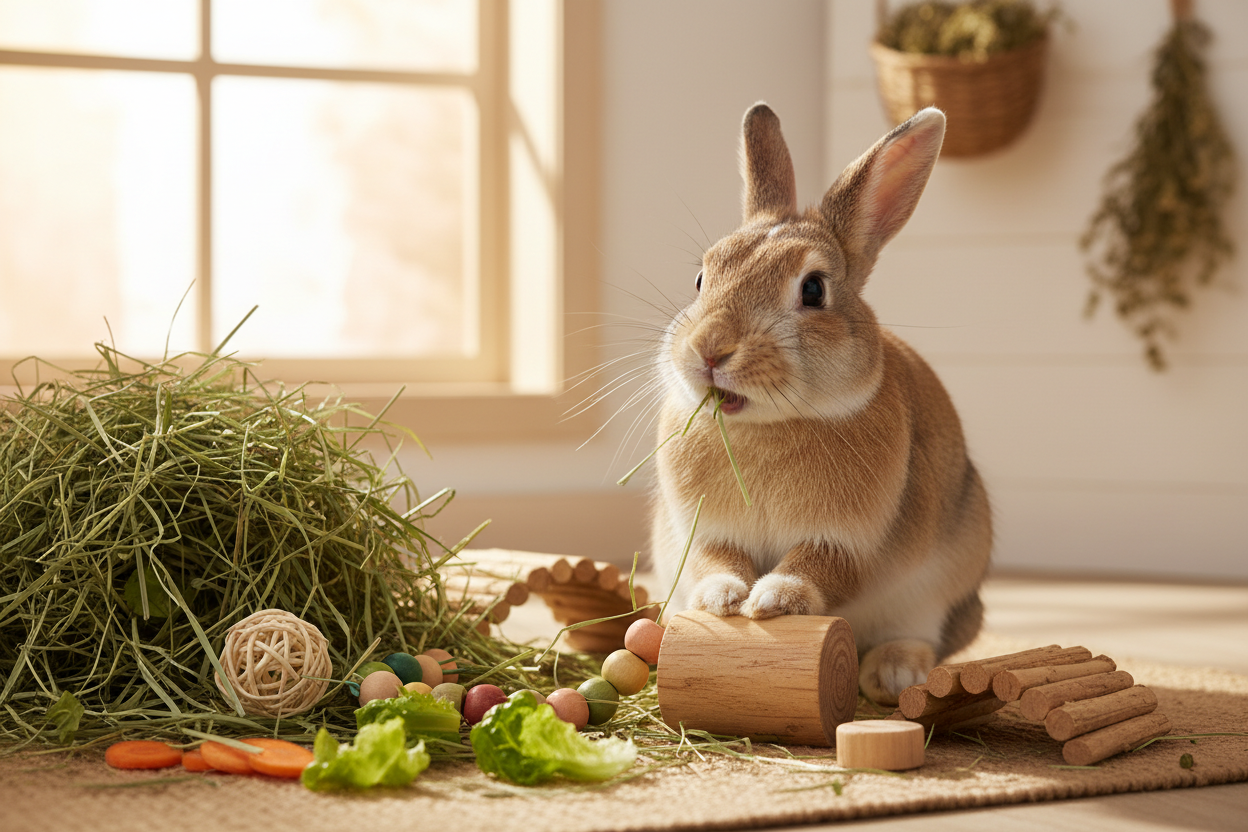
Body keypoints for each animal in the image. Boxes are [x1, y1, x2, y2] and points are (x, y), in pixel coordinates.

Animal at [650, 103, 992, 706]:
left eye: (813, 290)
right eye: (700, 277)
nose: (709, 349)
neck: (769, 423)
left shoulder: (850, 541)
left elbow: (818, 568)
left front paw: (771, 601)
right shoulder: (705, 530)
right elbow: (715, 560)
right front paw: (721, 600)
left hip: (941, 580)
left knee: (920, 634)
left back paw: (893, 673)